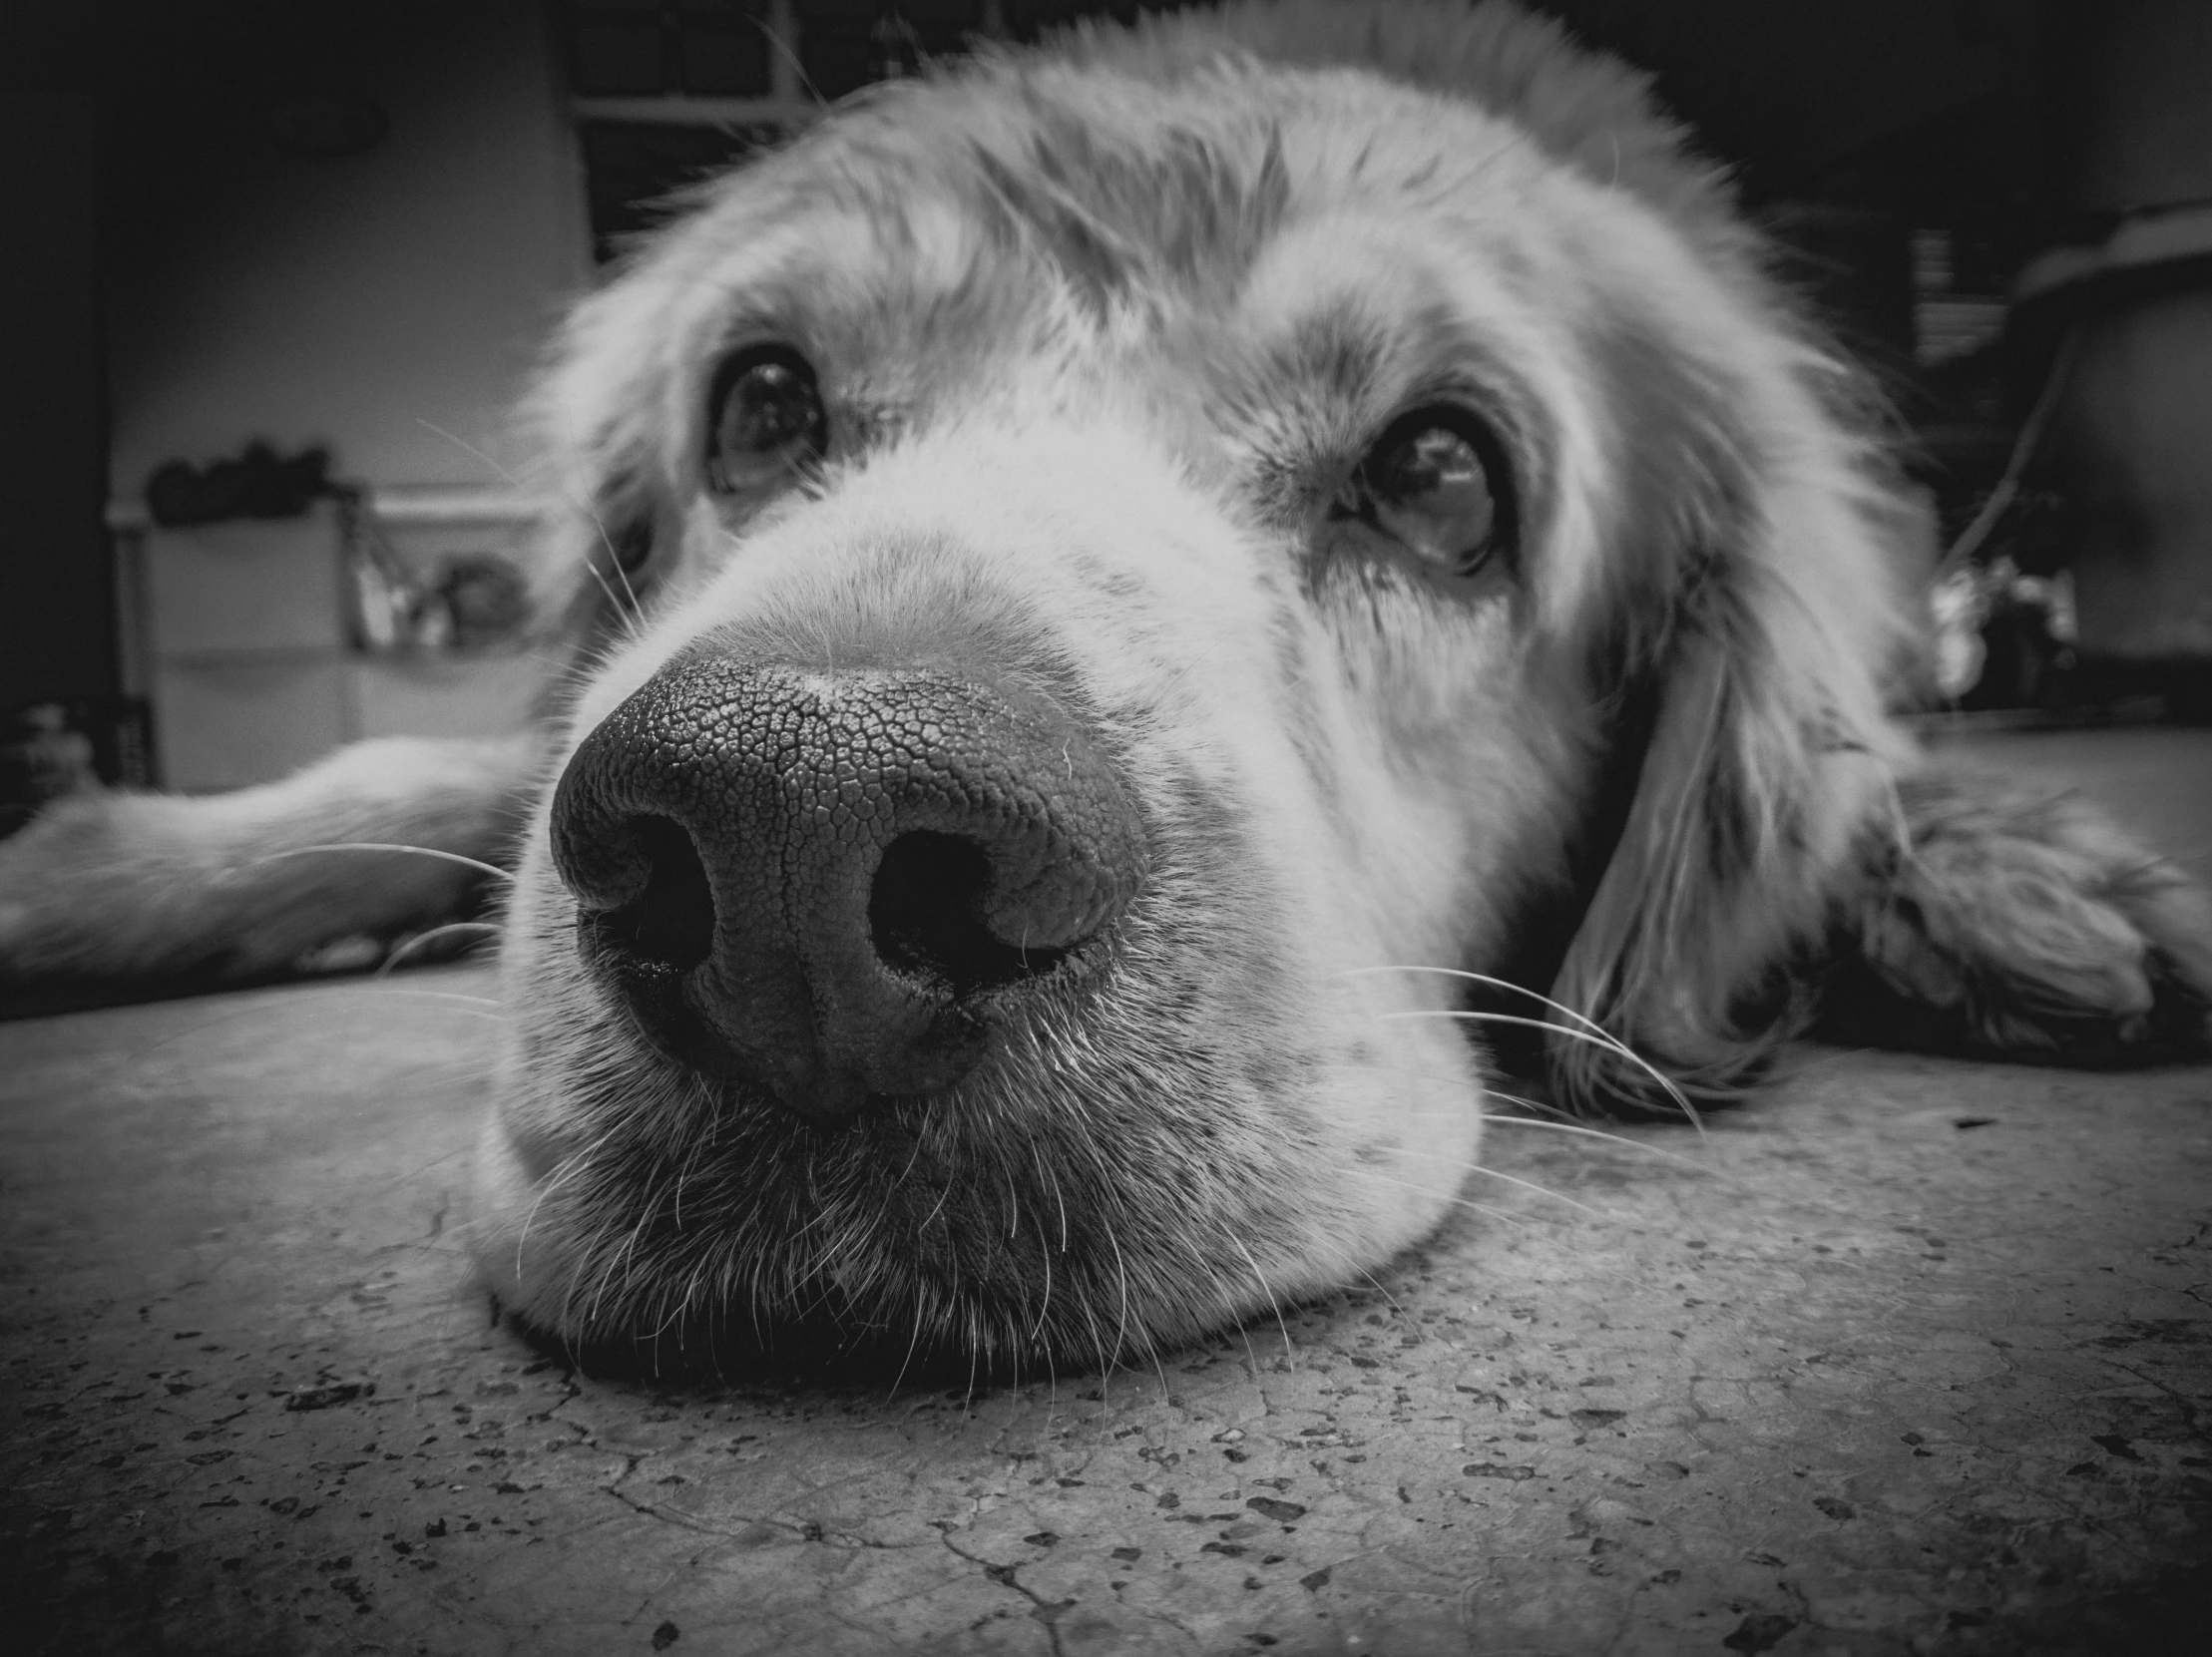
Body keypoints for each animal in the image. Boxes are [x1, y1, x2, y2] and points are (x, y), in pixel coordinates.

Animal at [4, 0, 2212, 1371]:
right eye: (763, 402)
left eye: (1442, 479)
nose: (797, 842)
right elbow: (403, 769)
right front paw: (87, 873)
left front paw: (2001, 870)